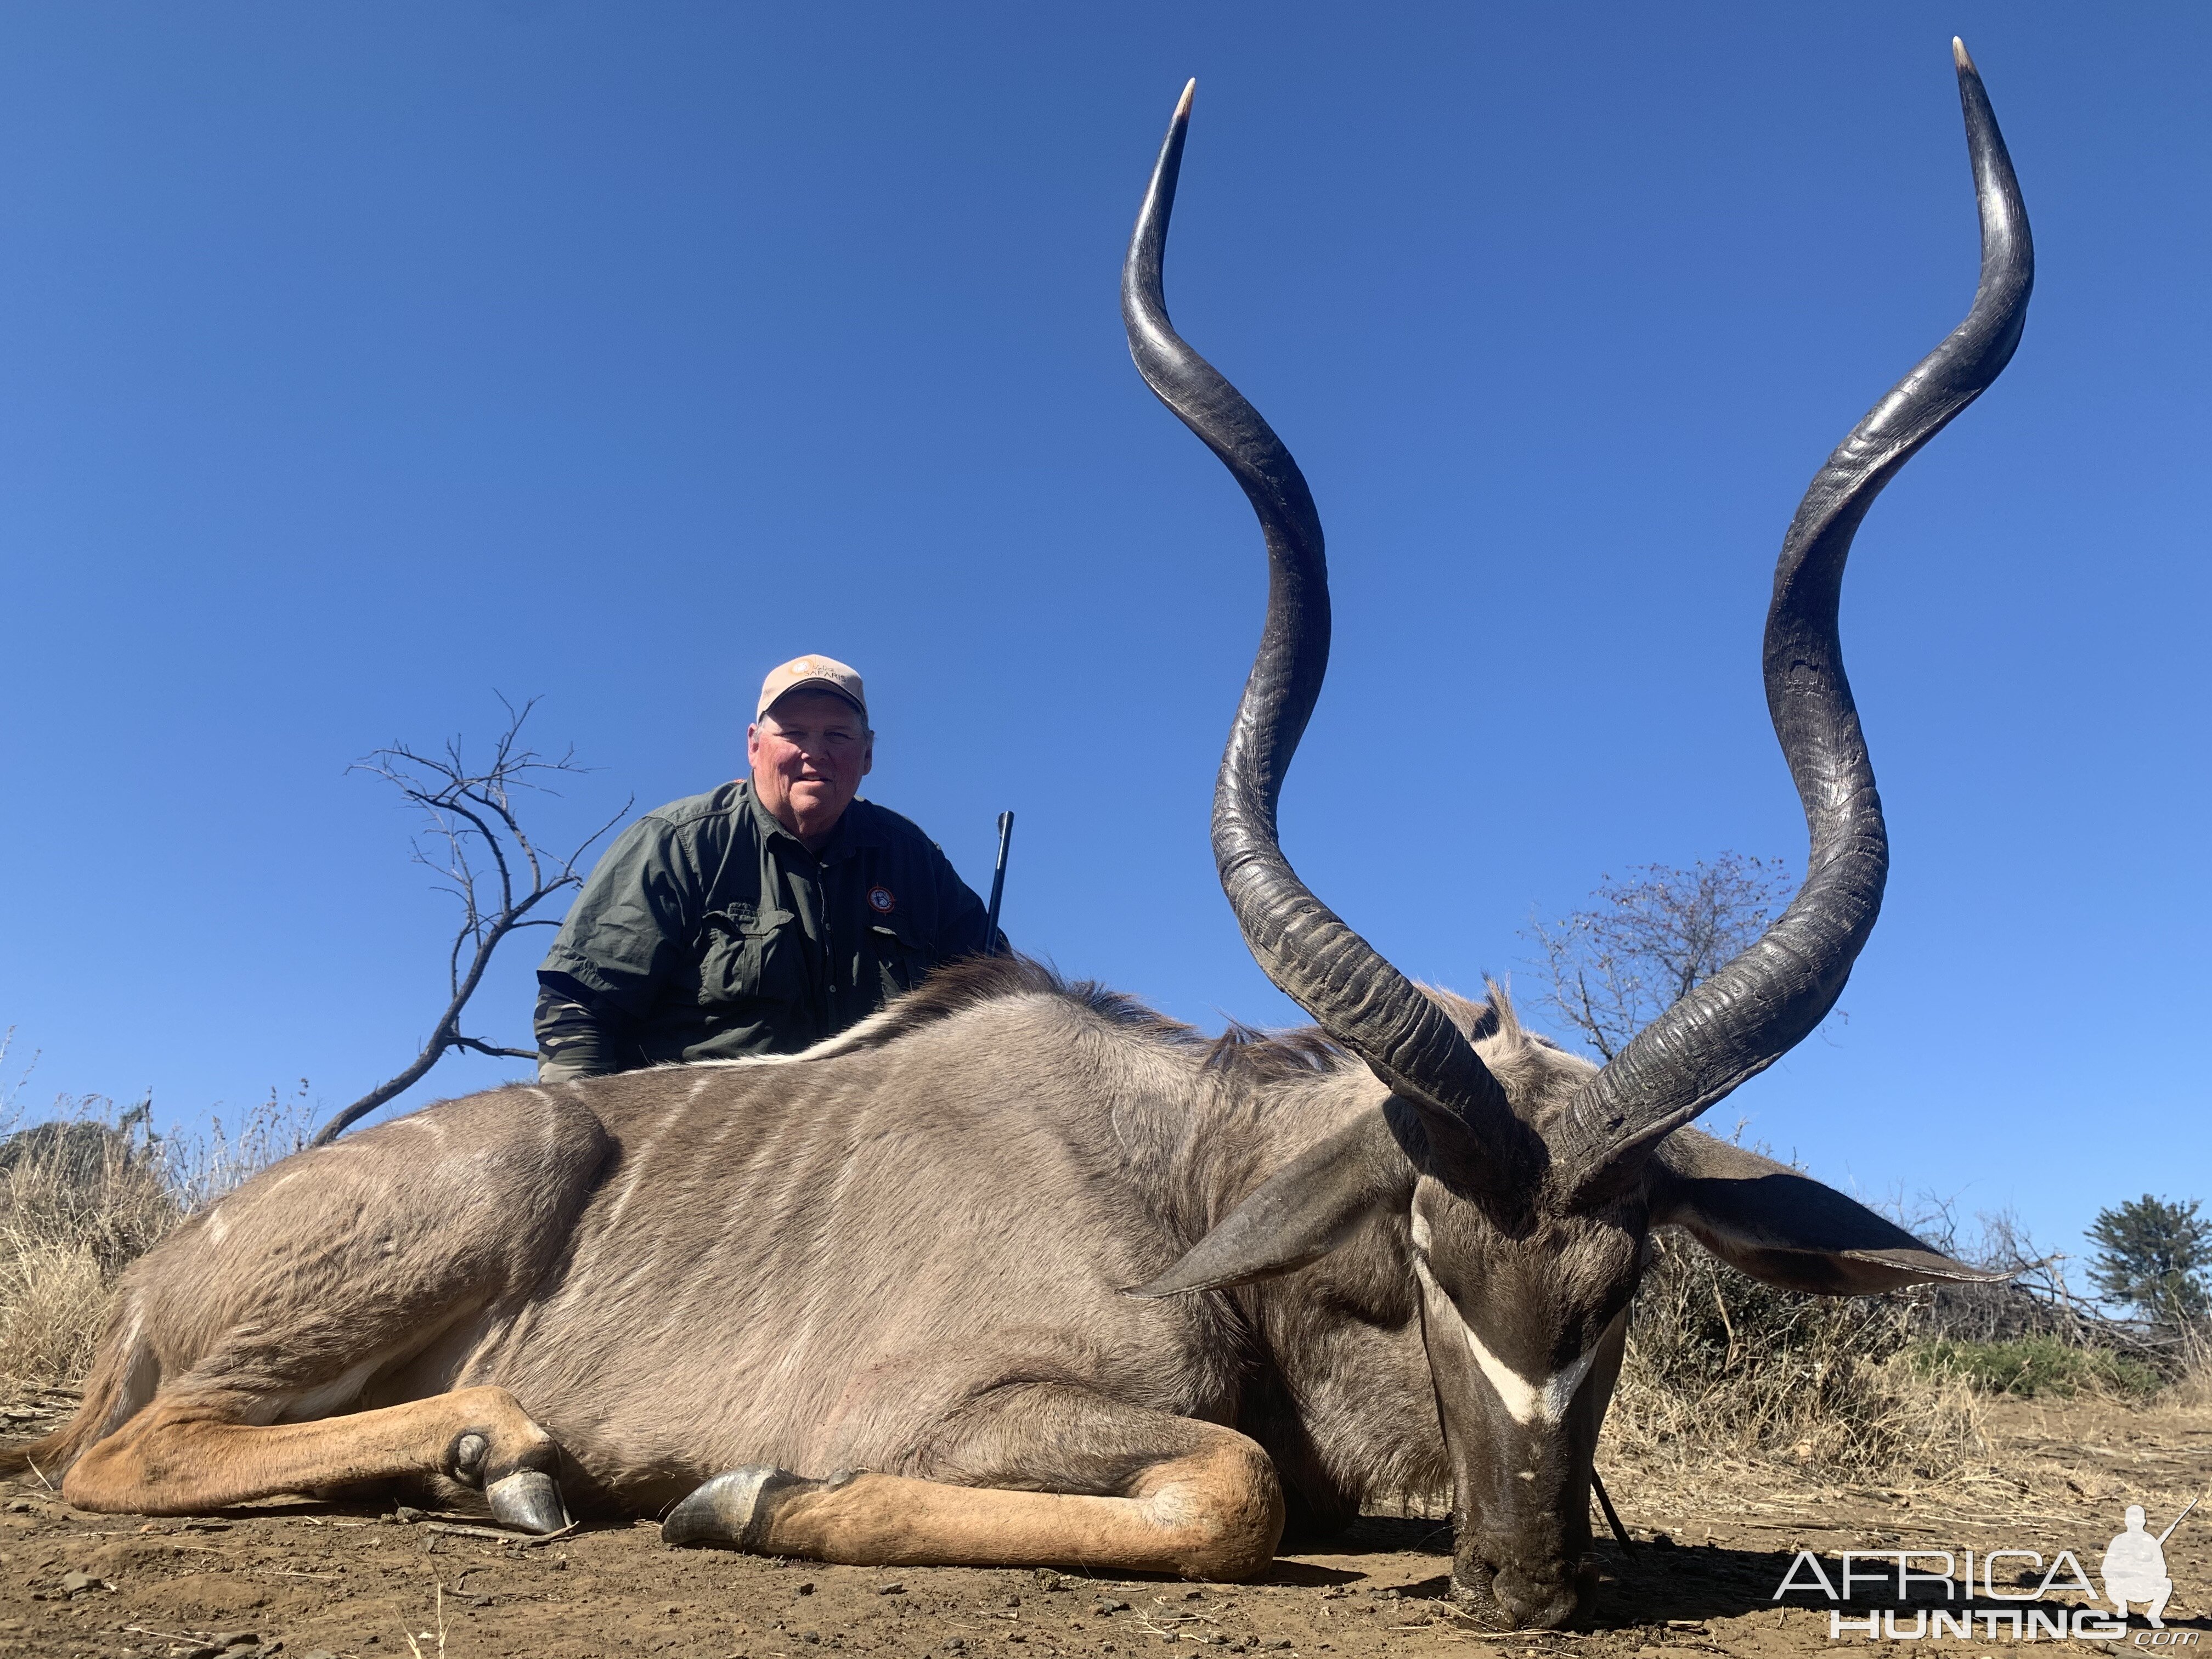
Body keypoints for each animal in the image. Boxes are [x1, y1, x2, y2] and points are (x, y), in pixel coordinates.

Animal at [4, 42, 2035, 1637]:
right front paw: (739, 1498)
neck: (1189, 1170)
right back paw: (500, 1451)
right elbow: (1231, 1489)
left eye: (1631, 1280)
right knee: (130, 1453)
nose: (1517, 1584)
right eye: (1424, 1244)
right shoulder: (952, 1404)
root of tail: (157, 1281)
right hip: (455, 1219)